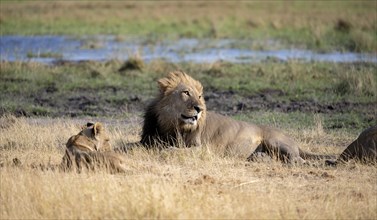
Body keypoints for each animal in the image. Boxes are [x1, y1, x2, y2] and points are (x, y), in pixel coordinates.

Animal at [140, 71, 332, 163]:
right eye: (186, 93)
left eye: (200, 96)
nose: (199, 108)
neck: (171, 125)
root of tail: (294, 141)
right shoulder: (147, 139)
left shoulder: (203, 149)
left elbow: (173, 150)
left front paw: (166, 151)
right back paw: (260, 158)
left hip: (275, 141)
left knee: (297, 159)